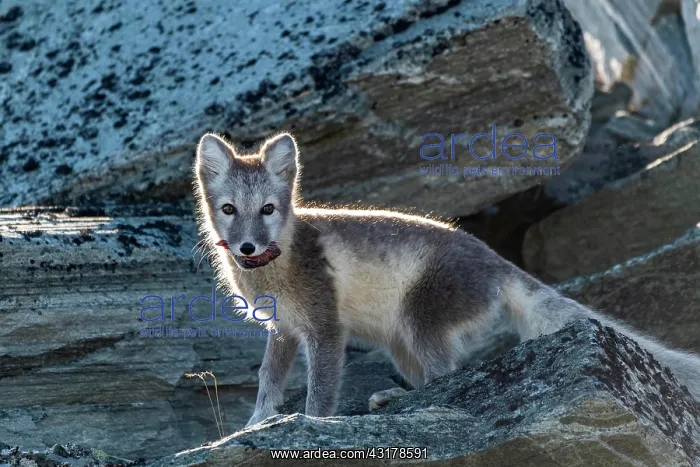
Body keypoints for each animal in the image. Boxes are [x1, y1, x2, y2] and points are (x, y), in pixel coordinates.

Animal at [193, 131, 700, 428]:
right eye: (229, 210)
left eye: (268, 210)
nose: (247, 248)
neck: (276, 269)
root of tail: (496, 260)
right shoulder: (282, 330)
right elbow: (268, 380)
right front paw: (252, 426)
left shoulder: (325, 329)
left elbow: (320, 390)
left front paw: (311, 426)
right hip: (400, 342)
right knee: (435, 379)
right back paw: (389, 399)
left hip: (421, 322)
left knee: (449, 378)